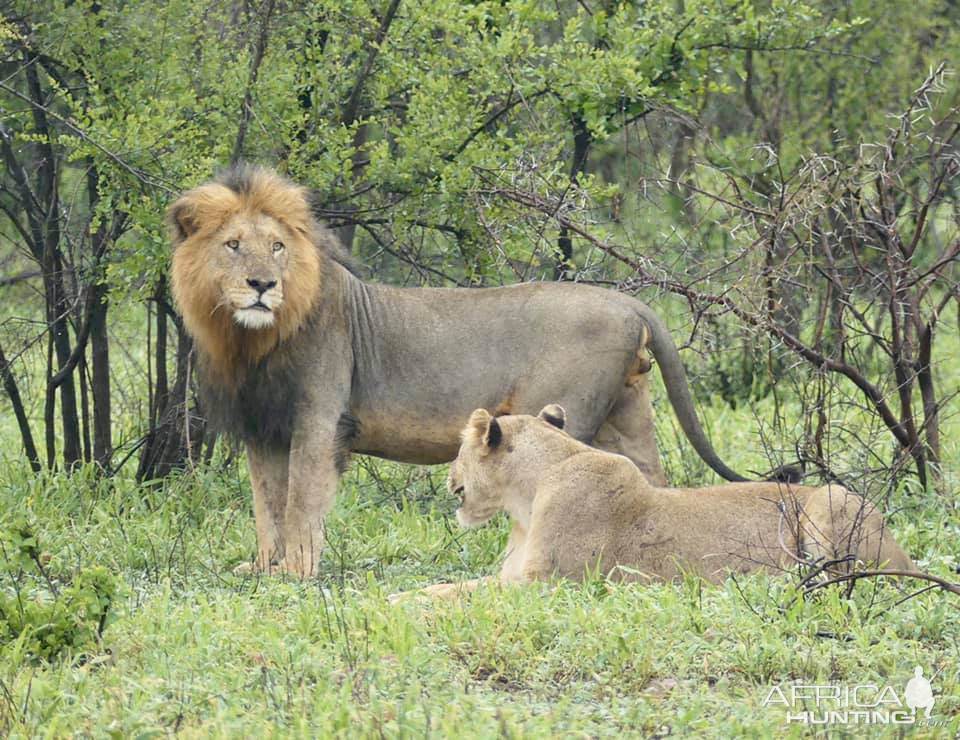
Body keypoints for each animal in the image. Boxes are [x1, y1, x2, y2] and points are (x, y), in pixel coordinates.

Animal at [171, 165, 752, 576]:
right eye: (232, 245)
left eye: (277, 247)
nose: (262, 285)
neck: (248, 340)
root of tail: (630, 304)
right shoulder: (262, 428)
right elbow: (266, 505)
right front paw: (263, 568)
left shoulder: (318, 420)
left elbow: (299, 503)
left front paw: (296, 571)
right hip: (626, 417)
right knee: (652, 481)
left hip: (566, 411)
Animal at [392, 404, 916, 600]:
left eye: (460, 449)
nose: (449, 477)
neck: (525, 500)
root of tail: (907, 559)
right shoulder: (516, 576)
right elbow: (449, 586)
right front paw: (389, 596)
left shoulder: (549, 584)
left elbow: (458, 594)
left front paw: (395, 602)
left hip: (829, 502)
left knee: (843, 580)